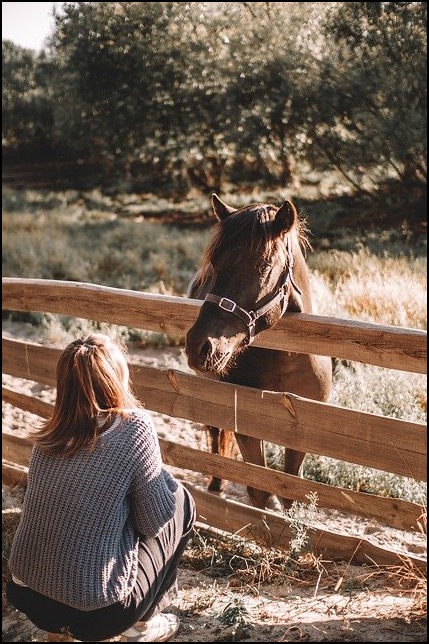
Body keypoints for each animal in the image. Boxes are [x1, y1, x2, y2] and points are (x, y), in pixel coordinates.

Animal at [184, 191, 332, 508]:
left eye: (264, 267)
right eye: (214, 263)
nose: (200, 346)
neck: (285, 360)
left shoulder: (302, 431)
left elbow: (289, 492)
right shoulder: (249, 430)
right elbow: (259, 489)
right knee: (215, 435)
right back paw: (216, 483)